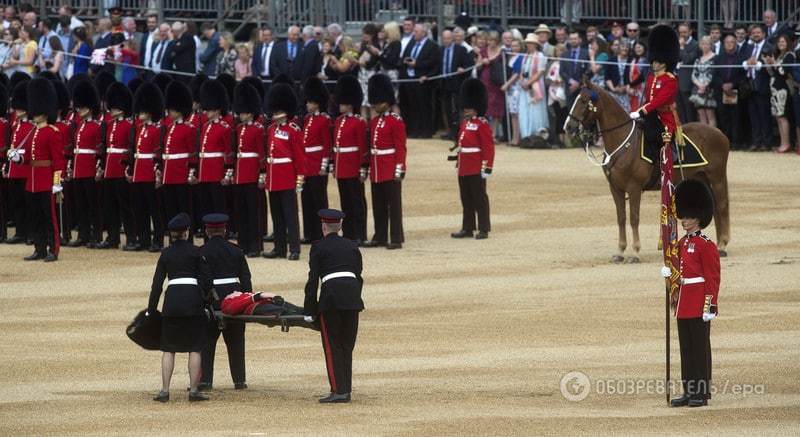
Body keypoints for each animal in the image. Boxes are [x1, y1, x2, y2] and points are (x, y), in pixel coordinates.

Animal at [564, 82, 728, 260]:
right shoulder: (615, 188)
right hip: (702, 177)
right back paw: (716, 245)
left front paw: (635, 252)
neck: (624, 143)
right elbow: (621, 217)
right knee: (713, 207)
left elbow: (634, 218)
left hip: (717, 178)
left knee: (721, 206)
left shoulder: (634, 187)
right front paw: (620, 251)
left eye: (583, 100)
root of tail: (719, 133)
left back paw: (722, 245)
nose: (568, 126)